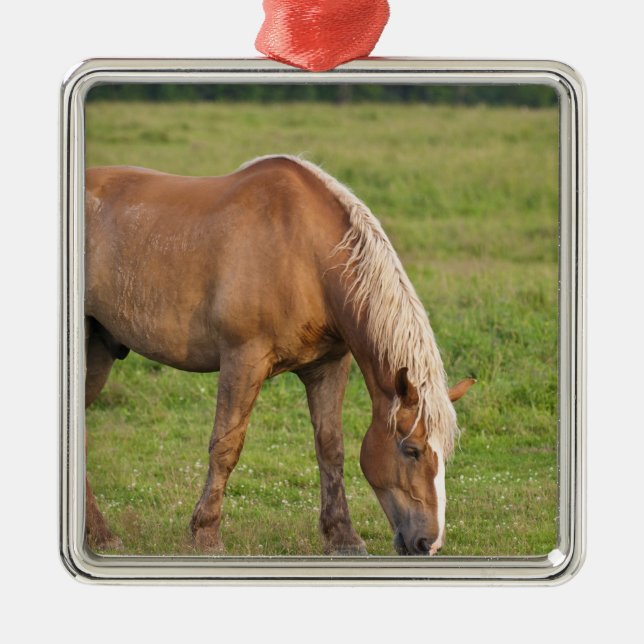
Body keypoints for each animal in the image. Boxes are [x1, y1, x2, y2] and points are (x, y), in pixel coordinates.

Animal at [84, 154, 474, 556]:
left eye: (446, 453)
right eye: (411, 450)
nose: (429, 542)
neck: (306, 255)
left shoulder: (329, 366)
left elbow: (331, 449)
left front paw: (343, 537)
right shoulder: (243, 360)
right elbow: (226, 446)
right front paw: (205, 533)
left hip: (99, 348)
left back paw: (99, 534)